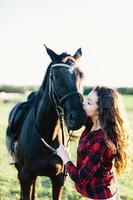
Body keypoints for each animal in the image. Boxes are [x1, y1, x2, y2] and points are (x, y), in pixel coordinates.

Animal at [5, 45, 85, 200]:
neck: (47, 135)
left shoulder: (58, 179)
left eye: (82, 75)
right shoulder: (25, 176)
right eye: (55, 76)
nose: (78, 117)